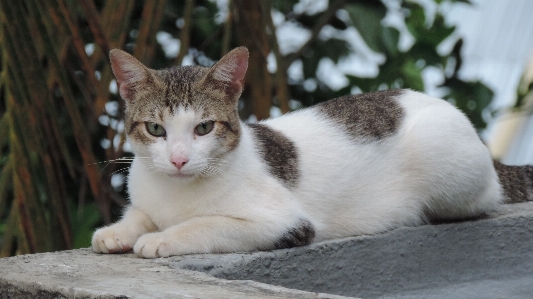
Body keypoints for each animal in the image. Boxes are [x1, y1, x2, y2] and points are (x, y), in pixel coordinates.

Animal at [92, 46, 532, 258]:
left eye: (204, 128)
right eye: (156, 129)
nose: (180, 159)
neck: (176, 193)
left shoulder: (285, 222)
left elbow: (206, 224)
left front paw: (161, 238)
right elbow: (140, 213)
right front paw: (117, 232)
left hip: (445, 165)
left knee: (484, 197)